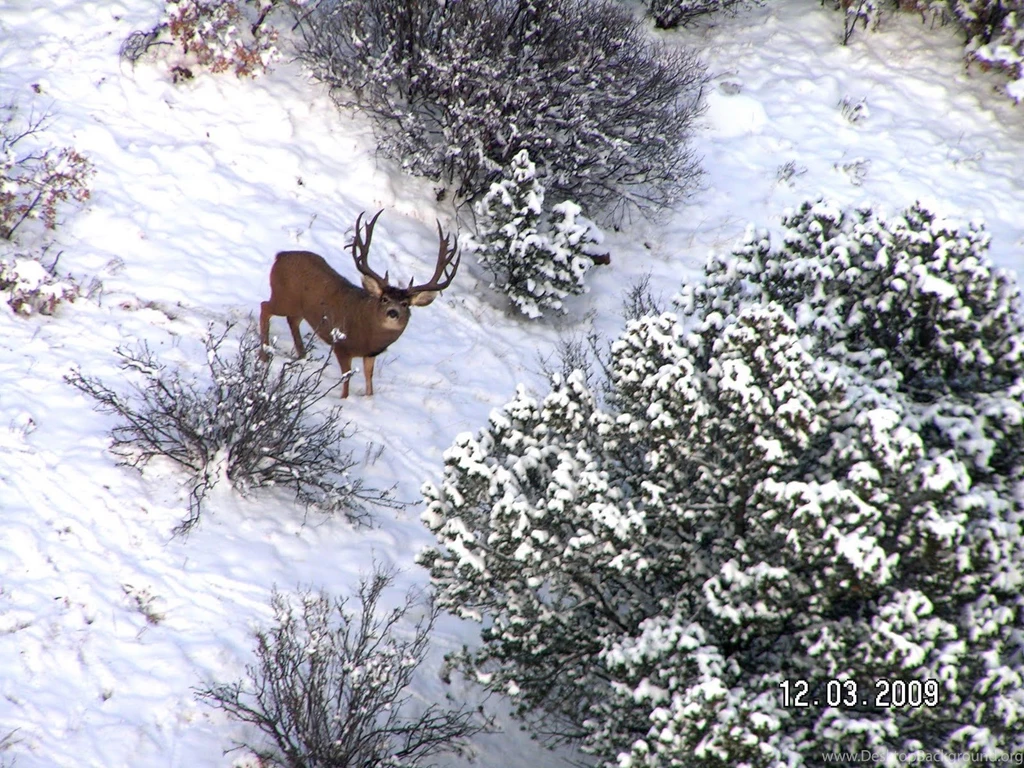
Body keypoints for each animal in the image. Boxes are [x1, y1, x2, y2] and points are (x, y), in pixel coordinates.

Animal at [259, 210, 460, 398]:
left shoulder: (370, 355)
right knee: (264, 307)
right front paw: (344, 399)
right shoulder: (342, 346)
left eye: (405, 304)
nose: (392, 313)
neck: (368, 336)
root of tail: (280, 256)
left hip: (300, 307)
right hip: (284, 297)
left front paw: (368, 398)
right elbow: (346, 378)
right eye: (384, 299)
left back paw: (302, 355)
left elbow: (369, 379)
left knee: (292, 320)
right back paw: (263, 355)